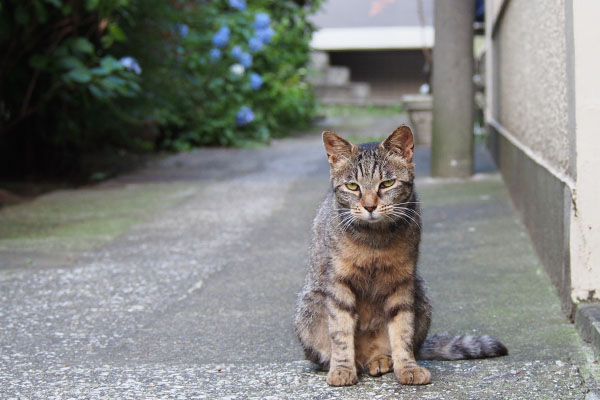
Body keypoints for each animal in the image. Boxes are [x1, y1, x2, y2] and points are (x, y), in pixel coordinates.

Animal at [294, 126, 506, 386]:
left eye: (387, 183)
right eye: (353, 186)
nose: (370, 206)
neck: (375, 240)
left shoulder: (402, 281)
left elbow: (402, 331)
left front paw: (407, 367)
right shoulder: (337, 283)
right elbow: (341, 332)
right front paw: (342, 369)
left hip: (421, 294)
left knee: (399, 348)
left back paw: (381, 360)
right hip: (309, 305)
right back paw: (347, 364)